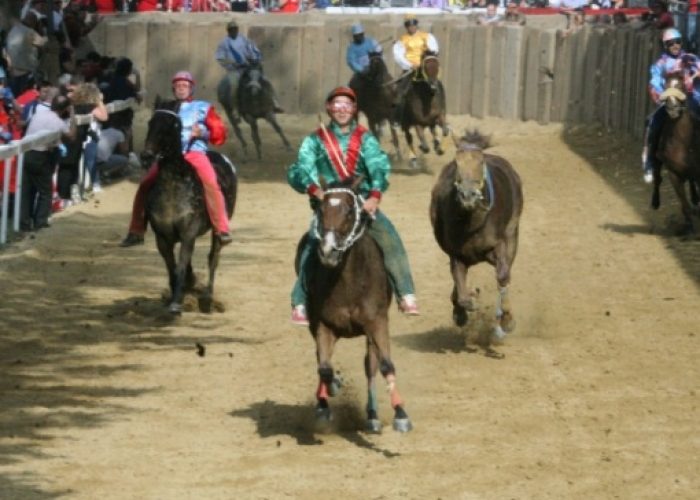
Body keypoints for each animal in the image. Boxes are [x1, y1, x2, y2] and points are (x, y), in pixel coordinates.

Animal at [142, 98, 238, 314]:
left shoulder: (188, 232)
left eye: (172, 125)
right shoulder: (162, 237)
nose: (146, 156)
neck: (173, 189)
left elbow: (182, 265)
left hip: (217, 230)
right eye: (150, 122)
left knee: (213, 258)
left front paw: (177, 303)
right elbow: (173, 267)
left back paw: (208, 299)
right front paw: (177, 294)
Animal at [294, 176, 410, 434]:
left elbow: (385, 365)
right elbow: (325, 368)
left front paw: (400, 414)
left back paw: (373, 416)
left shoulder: (377, 323)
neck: (348, 282)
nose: (328, 251)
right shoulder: (322, 325)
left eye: (349, 211)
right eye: (320, 208)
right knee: (323, 362)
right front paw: (330, 394)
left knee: (370, 366)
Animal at [430, 130, 524, 344]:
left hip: (512, 235)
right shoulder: (456, 254)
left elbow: (503, 276)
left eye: (480, 162)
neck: (472, 222)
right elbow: (461, 288)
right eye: (457, 162)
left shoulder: (499, 245)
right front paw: (464, 308)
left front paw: (507, 320)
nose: (468, 195)